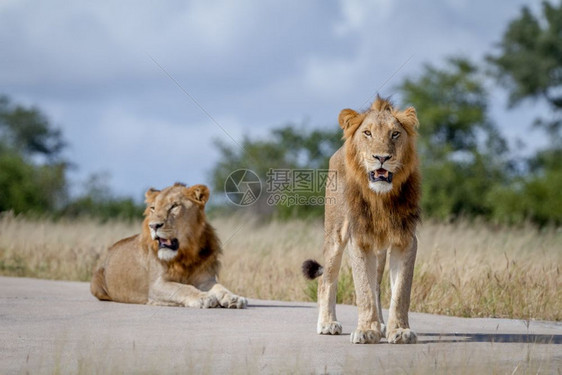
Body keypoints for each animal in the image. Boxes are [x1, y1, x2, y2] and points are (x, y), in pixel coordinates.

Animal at [91, 184, 246, 310]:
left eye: (174, 206)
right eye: (153, 208)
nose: (153, 226)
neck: (186, 253)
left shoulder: (204, 279)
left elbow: (219, 287)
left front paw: (234, 298)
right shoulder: (156, 285)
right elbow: (183, 288)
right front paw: (204, 297)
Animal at [304, 97, 418, 346]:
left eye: (395, 134)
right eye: (367, 133)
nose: (382, 158)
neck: (381, 199)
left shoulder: (405, 240)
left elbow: (401, 291)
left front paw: (399, 331)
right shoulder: (359, 239)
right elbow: (363, 289)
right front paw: (366, 331)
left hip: (380, 249)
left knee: (377, 286)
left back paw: (382, 325)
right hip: (335, 235)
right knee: (326, 280)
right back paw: (327, 324)